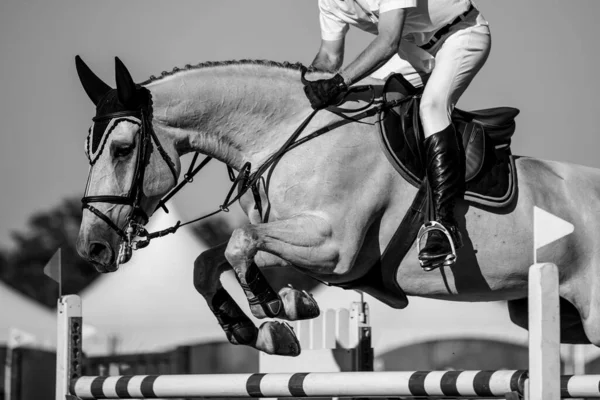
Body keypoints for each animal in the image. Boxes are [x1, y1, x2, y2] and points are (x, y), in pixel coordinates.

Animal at [75, 56, 600, 356]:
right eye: (89, 150)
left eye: (122, 149)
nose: (91, 248)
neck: (283, 136)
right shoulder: (308, 248)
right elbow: (209, 262)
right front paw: (258, 325)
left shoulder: (334, 248)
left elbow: (239, 244)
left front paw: (272, 306)